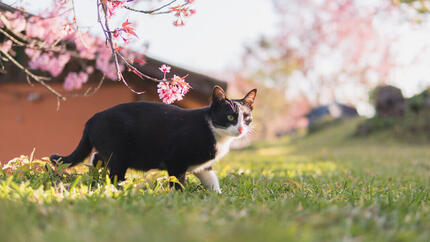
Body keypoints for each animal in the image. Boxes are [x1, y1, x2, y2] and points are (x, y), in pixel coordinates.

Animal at [51, 86, 256, 194]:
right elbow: (177, 181)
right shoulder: (176, 159)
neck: (217, 136)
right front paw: (179, 196)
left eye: (246, 117)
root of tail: (92, 119)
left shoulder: (203, 166)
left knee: (97, 158)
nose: (240, 128)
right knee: (114, 171)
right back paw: (119, 189)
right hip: (119, 152)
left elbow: (211, 179)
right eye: (230, 117)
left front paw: (218, 196)